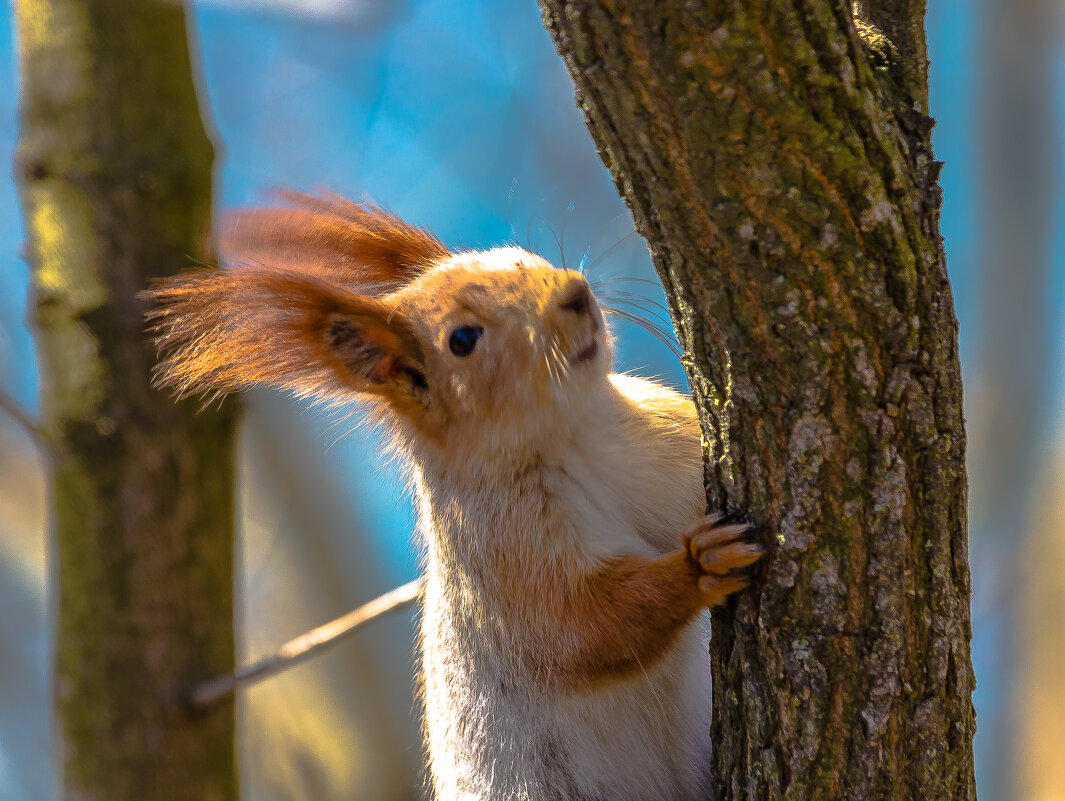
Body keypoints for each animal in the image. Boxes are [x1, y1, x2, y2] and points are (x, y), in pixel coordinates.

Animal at [148, 192, 766, 801]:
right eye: (462, 340)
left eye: (520, 254)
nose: (574, 294)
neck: (578, 434)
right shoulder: (504, 557)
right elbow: (584, 628)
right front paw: (700, 565)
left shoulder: (671, 448)